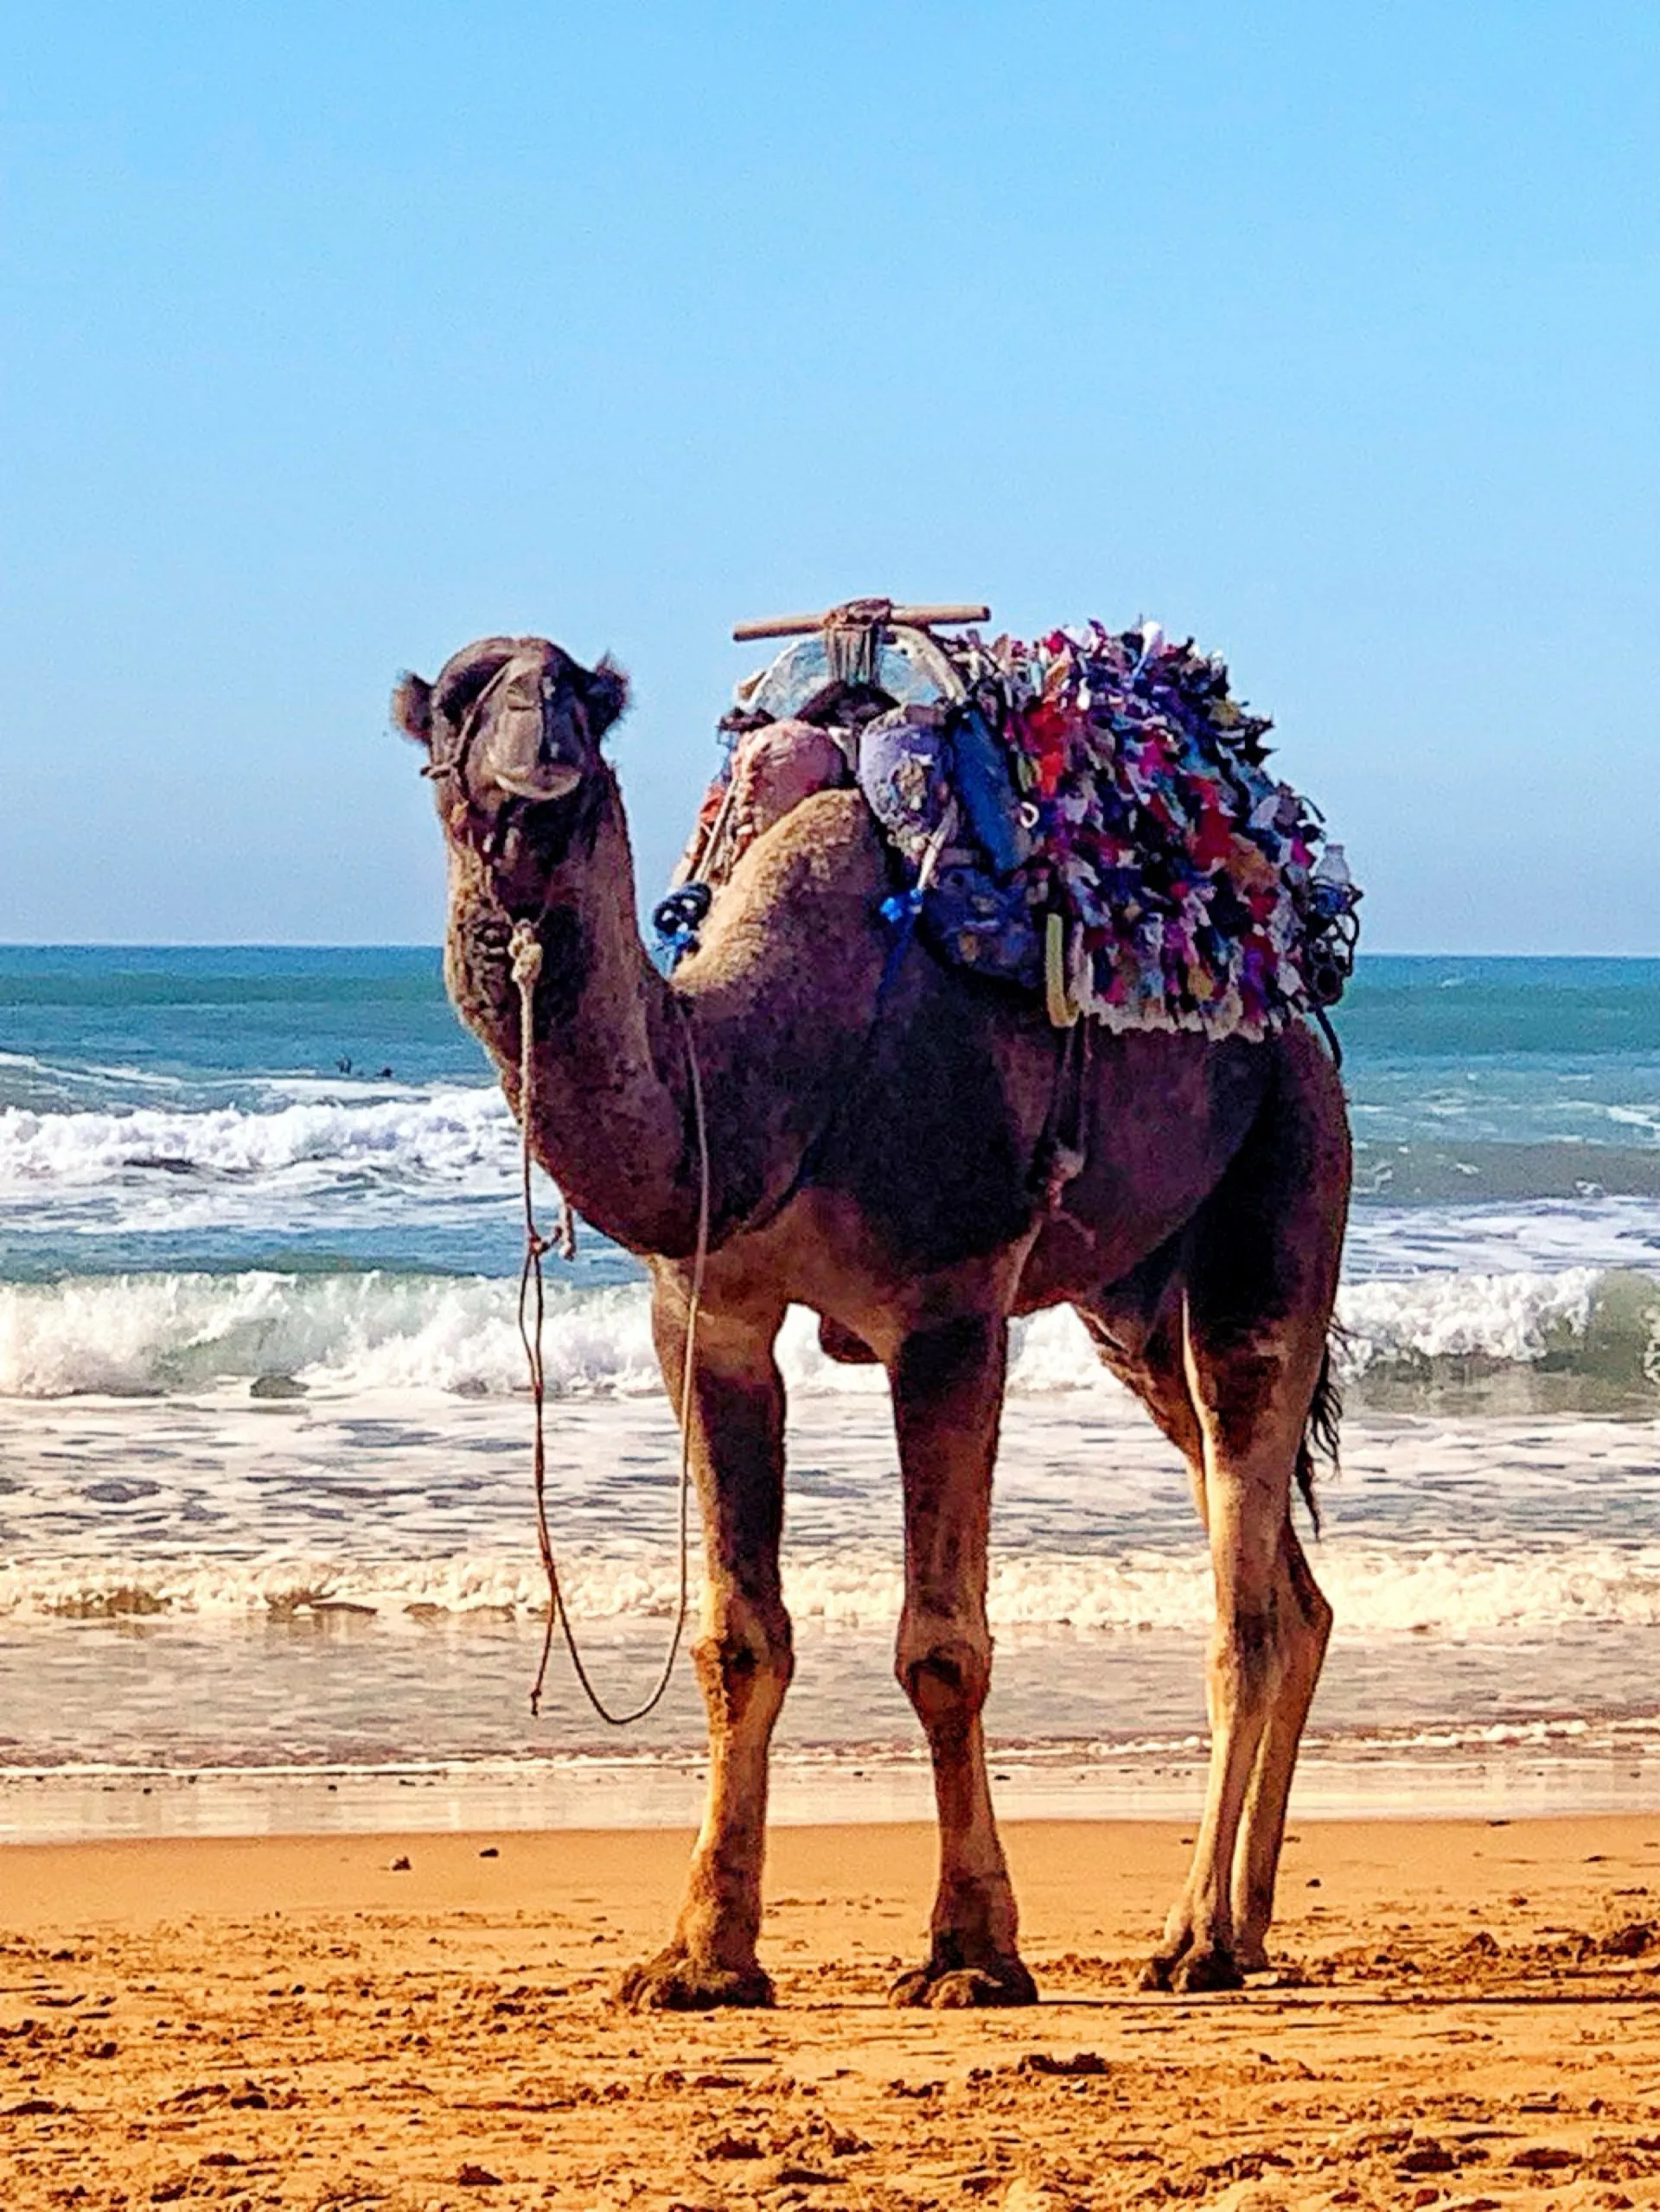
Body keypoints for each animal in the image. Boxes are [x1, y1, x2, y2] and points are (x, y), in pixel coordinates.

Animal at [392, 627, 1351, 2009]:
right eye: (461, 702)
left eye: (577, 693)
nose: (540, 750)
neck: (764, 1076)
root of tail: (1296, 1010)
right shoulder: (706, 1317)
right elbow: (738, 1639)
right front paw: (701, 1955)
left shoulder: (951, 1302)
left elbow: (942, 1648)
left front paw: (972, 1952)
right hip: (1129, 1309)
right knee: (1288, 1578)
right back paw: (1248, 1923)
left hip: (1282, 1172)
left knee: (1246, 1580)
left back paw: (1192, 1938)